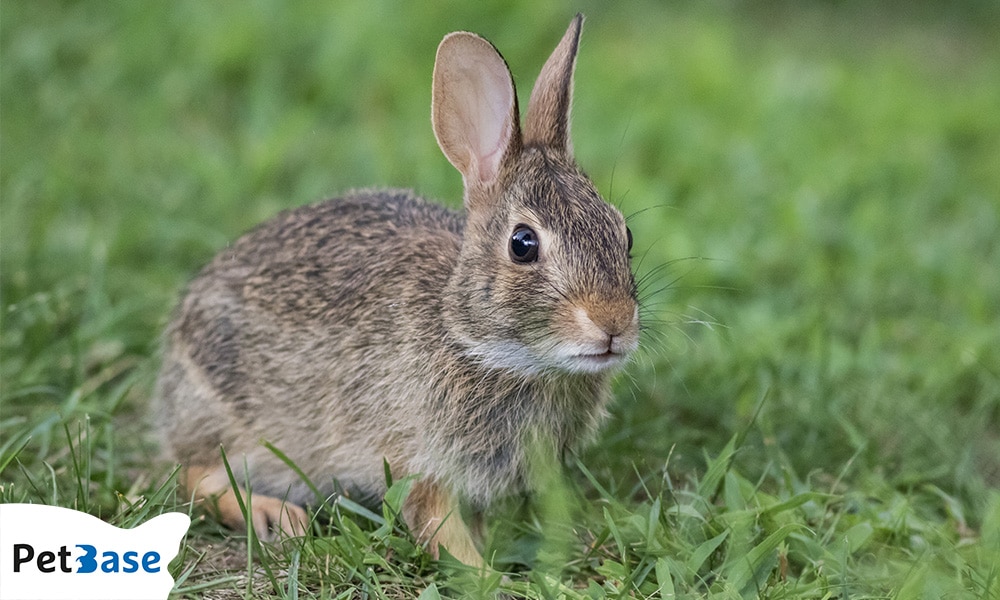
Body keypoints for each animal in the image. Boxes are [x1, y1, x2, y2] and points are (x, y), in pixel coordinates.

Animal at [156, 14, 640, 568]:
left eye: (625, 234)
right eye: (523, 244)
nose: (613, 324)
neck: (480, 344)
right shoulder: (419, 460)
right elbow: (438, 526)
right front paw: (489, 575)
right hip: (229, 420)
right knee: (194, 476)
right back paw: (274, 516)